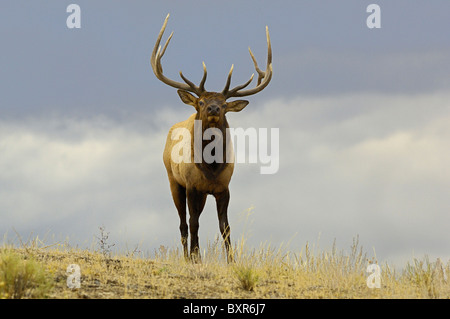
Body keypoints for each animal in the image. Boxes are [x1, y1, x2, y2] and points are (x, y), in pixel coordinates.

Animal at [151, 14, 272, 262]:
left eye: (225, 104)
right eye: (201, 101)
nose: (214, 108)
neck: (211, 167)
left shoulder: (223, 187)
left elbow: (225, 226)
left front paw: (231, 261)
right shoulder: (191, 185)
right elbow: (193, 223)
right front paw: (196, 258)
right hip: (173, 179)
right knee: (183, 223)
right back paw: (187, 256)